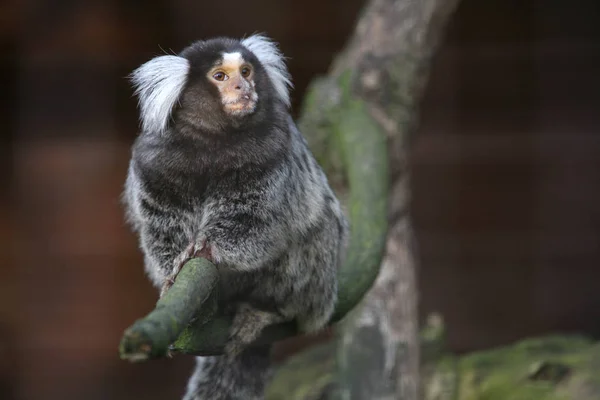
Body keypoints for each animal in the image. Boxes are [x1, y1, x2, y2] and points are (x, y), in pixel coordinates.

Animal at [122, 35, 346, 400]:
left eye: (246, 71)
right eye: (220, 77)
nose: (244, 86)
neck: (213, 142)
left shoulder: (271, 153)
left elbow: (254, 224)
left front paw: (207, 250)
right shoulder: (154, 163)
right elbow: (161, 227)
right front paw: (172, 275)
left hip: (320, 286)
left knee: (315, 235)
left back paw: (264, 312)